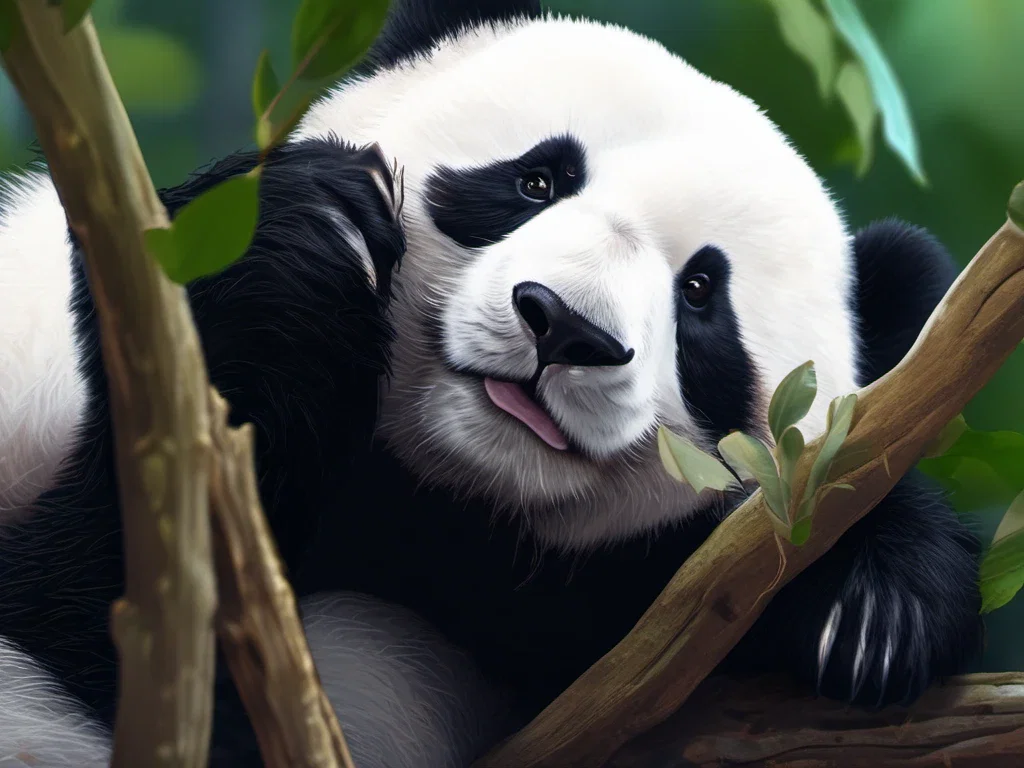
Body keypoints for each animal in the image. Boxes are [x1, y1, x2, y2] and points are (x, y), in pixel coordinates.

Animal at [0, 0, 984, 766]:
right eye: (537, 180)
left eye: (701, 293)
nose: (565, 326)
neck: (428, 495)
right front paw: (303, 246)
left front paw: (870, 603)